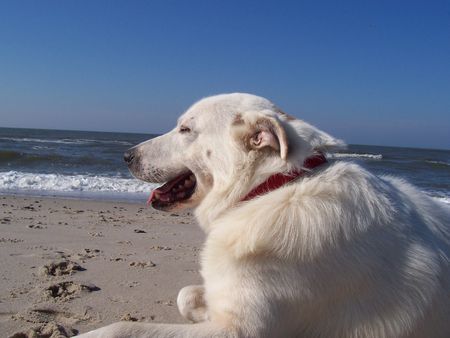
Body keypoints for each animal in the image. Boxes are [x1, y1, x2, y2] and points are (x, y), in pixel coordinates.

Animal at [78, 93, 450, 338]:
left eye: (185, 129)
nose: (126, 156)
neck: (271, 189)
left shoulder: (243, 332)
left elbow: (123, 329)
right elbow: (186, 294)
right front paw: (202, 309)